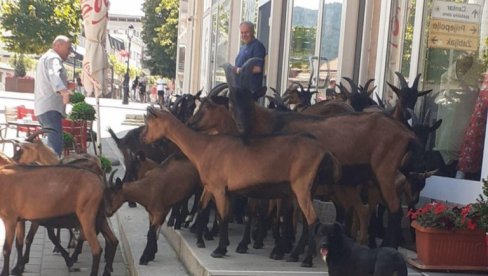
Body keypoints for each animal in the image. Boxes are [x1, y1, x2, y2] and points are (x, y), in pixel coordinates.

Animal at [141, 105, 340, 268]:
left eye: (150, 122)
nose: (143, 138)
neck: (204, 147)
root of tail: (323, 150)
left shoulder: (219, 188)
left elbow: (223, 216)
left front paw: (219, 249)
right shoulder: (214, 187)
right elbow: (205, 208)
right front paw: (203, 240)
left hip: (301, 187)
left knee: (312, 220)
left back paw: (306, 259)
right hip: (308, 189)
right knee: (307, 222)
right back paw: (294, 255)